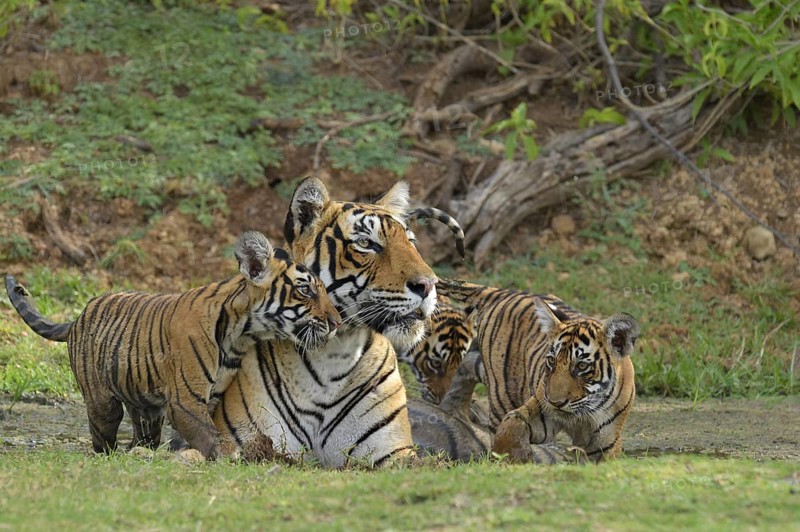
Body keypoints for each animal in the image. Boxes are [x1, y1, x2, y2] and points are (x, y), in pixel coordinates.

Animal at [4, 231, 341, 460]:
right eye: (305, 290)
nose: (337, 322)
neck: (242, 334)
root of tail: (77, 318)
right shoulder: (185, 399)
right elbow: (209, 434)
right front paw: (226, 455)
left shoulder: (211, 396)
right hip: (102, 403)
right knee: (102, 439)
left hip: (145, 407)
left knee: (142, 436)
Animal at [438, 279, 640, 463]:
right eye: (551, 361)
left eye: (581, 366)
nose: (556, 402)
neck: (582, 416)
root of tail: (503, 291)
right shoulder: (540, 410)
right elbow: (511, 425)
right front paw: (511, 457)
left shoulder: (605, 442)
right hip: (502, 394)